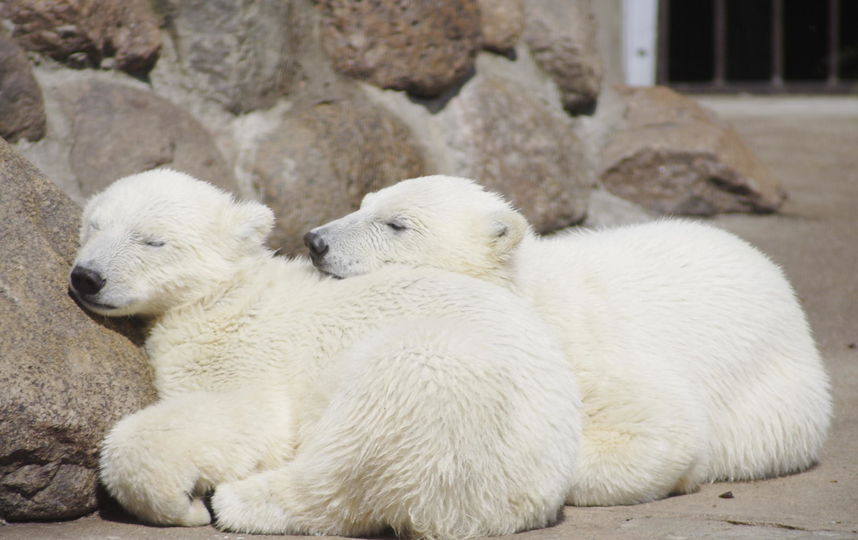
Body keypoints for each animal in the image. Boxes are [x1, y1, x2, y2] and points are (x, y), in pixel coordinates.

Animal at [68, 170, 580, 540]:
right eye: (93, 224)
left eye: (152, 239)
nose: (86, 277)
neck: (227, 293)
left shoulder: (246, 346)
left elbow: (248, 417)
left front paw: (181, 504)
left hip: (448, 394)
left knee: (355, 449)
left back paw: (237, 501)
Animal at [306, 174, 828, 506]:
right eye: (363, 203)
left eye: (396, 223)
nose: (315, 240)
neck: (530, 296)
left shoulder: (588, 358)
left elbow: (664, 427)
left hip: (778, 395)